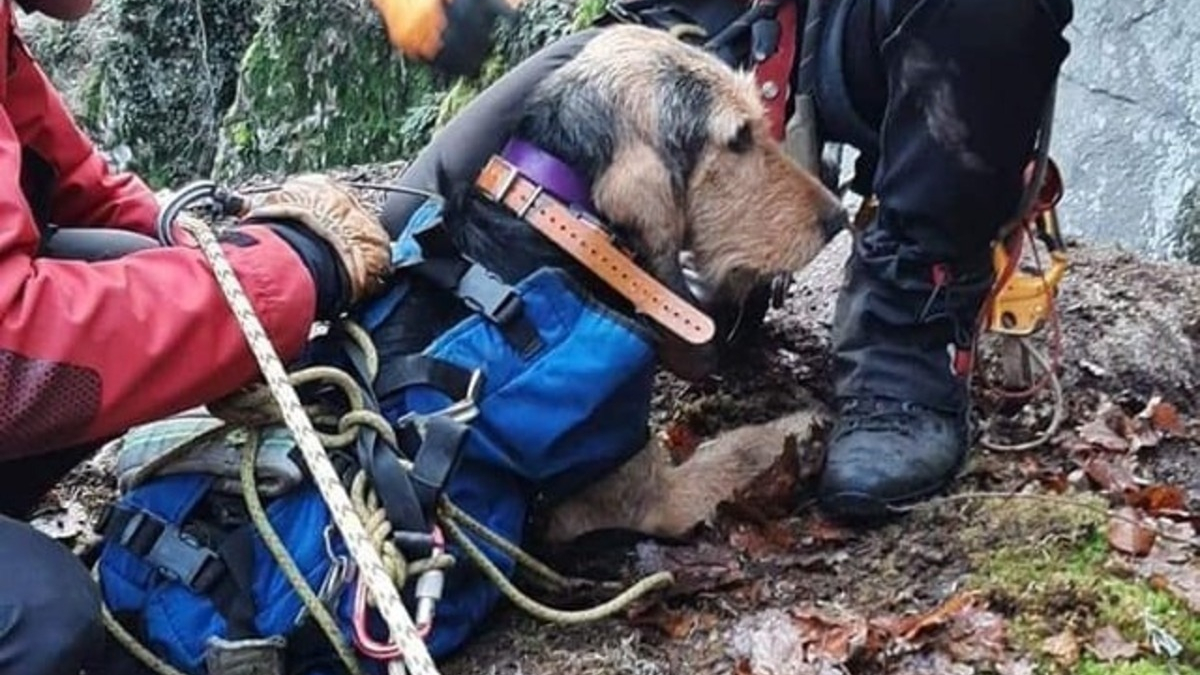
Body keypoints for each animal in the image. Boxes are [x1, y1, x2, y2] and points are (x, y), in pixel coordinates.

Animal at [376, 23, 844, 542]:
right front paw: (803, 427)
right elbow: (738, 449)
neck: (559, 214)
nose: (838, 218)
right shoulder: (655, 498)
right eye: (739, 138)